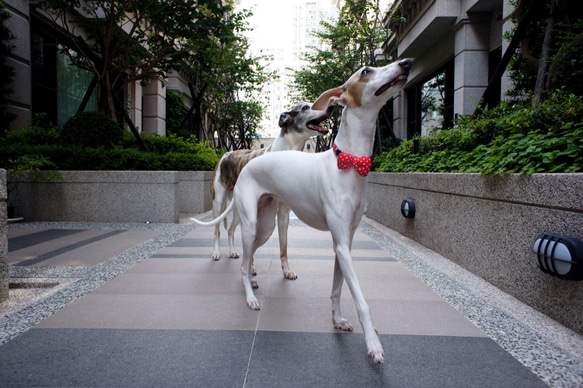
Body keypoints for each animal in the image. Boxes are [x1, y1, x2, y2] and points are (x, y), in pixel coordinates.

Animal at [194, 59, 412, 362]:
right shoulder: (341, 243)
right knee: (237, 255)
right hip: (245, 221)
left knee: (245, 256)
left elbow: (337, 289)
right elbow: (361, 300)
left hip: (265, 226)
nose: (406, 63)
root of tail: (247, 160)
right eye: (366, 71)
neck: (347, 161)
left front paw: (337, 320)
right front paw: (373, 344)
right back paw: (250, 297)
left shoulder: (343, 243)